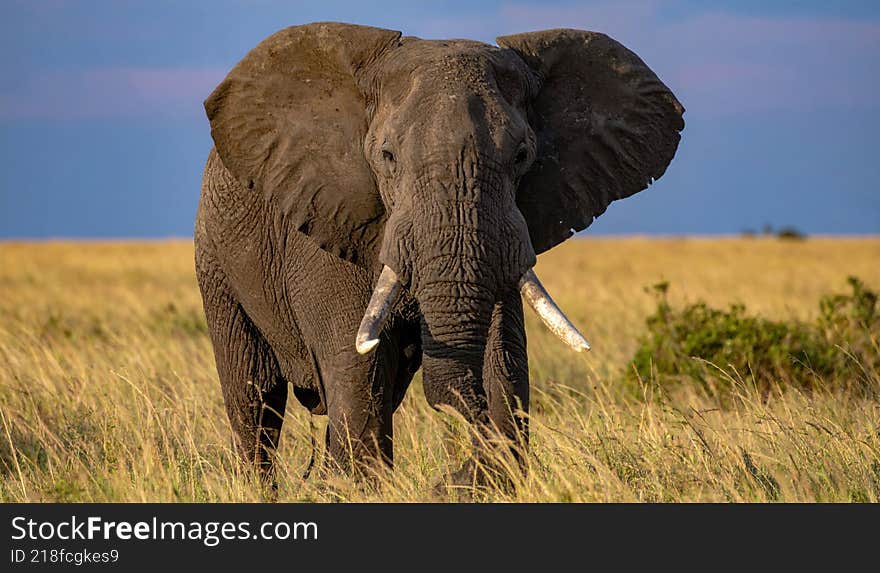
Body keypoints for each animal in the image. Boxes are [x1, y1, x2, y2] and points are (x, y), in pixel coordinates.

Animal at [195, 22, 684, 485]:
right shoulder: (327, 227)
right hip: (214, 258)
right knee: (255, 399)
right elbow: (357, 371)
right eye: (387, 156)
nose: (448, 475)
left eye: (522, 155)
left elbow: (505, 360)